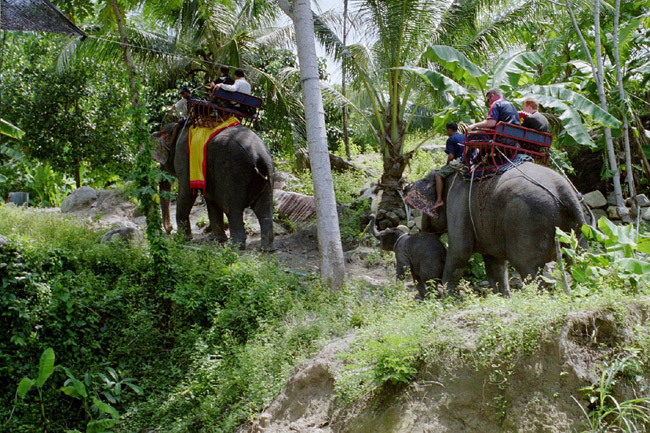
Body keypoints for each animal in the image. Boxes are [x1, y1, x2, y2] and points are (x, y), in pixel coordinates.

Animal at [150, 122, 275, 251]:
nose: (169, 229)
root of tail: (260, 157)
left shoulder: (184, 155)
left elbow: (188, 192)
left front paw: (182, 239)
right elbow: (210, 198)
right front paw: (216, 239)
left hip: (234, 174)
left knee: (231, 207)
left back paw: (235, 246)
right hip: (267, 176)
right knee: (264, 209)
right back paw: (267, 248)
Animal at [405, 162, 586, 296]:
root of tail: (565, 192)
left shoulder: (458, 203)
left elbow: (460, 250)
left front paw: (447, 297)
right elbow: (495, 262)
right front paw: (503, 297)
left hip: (527, 224)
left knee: (530, 269)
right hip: (576, 230)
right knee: (577, 262)